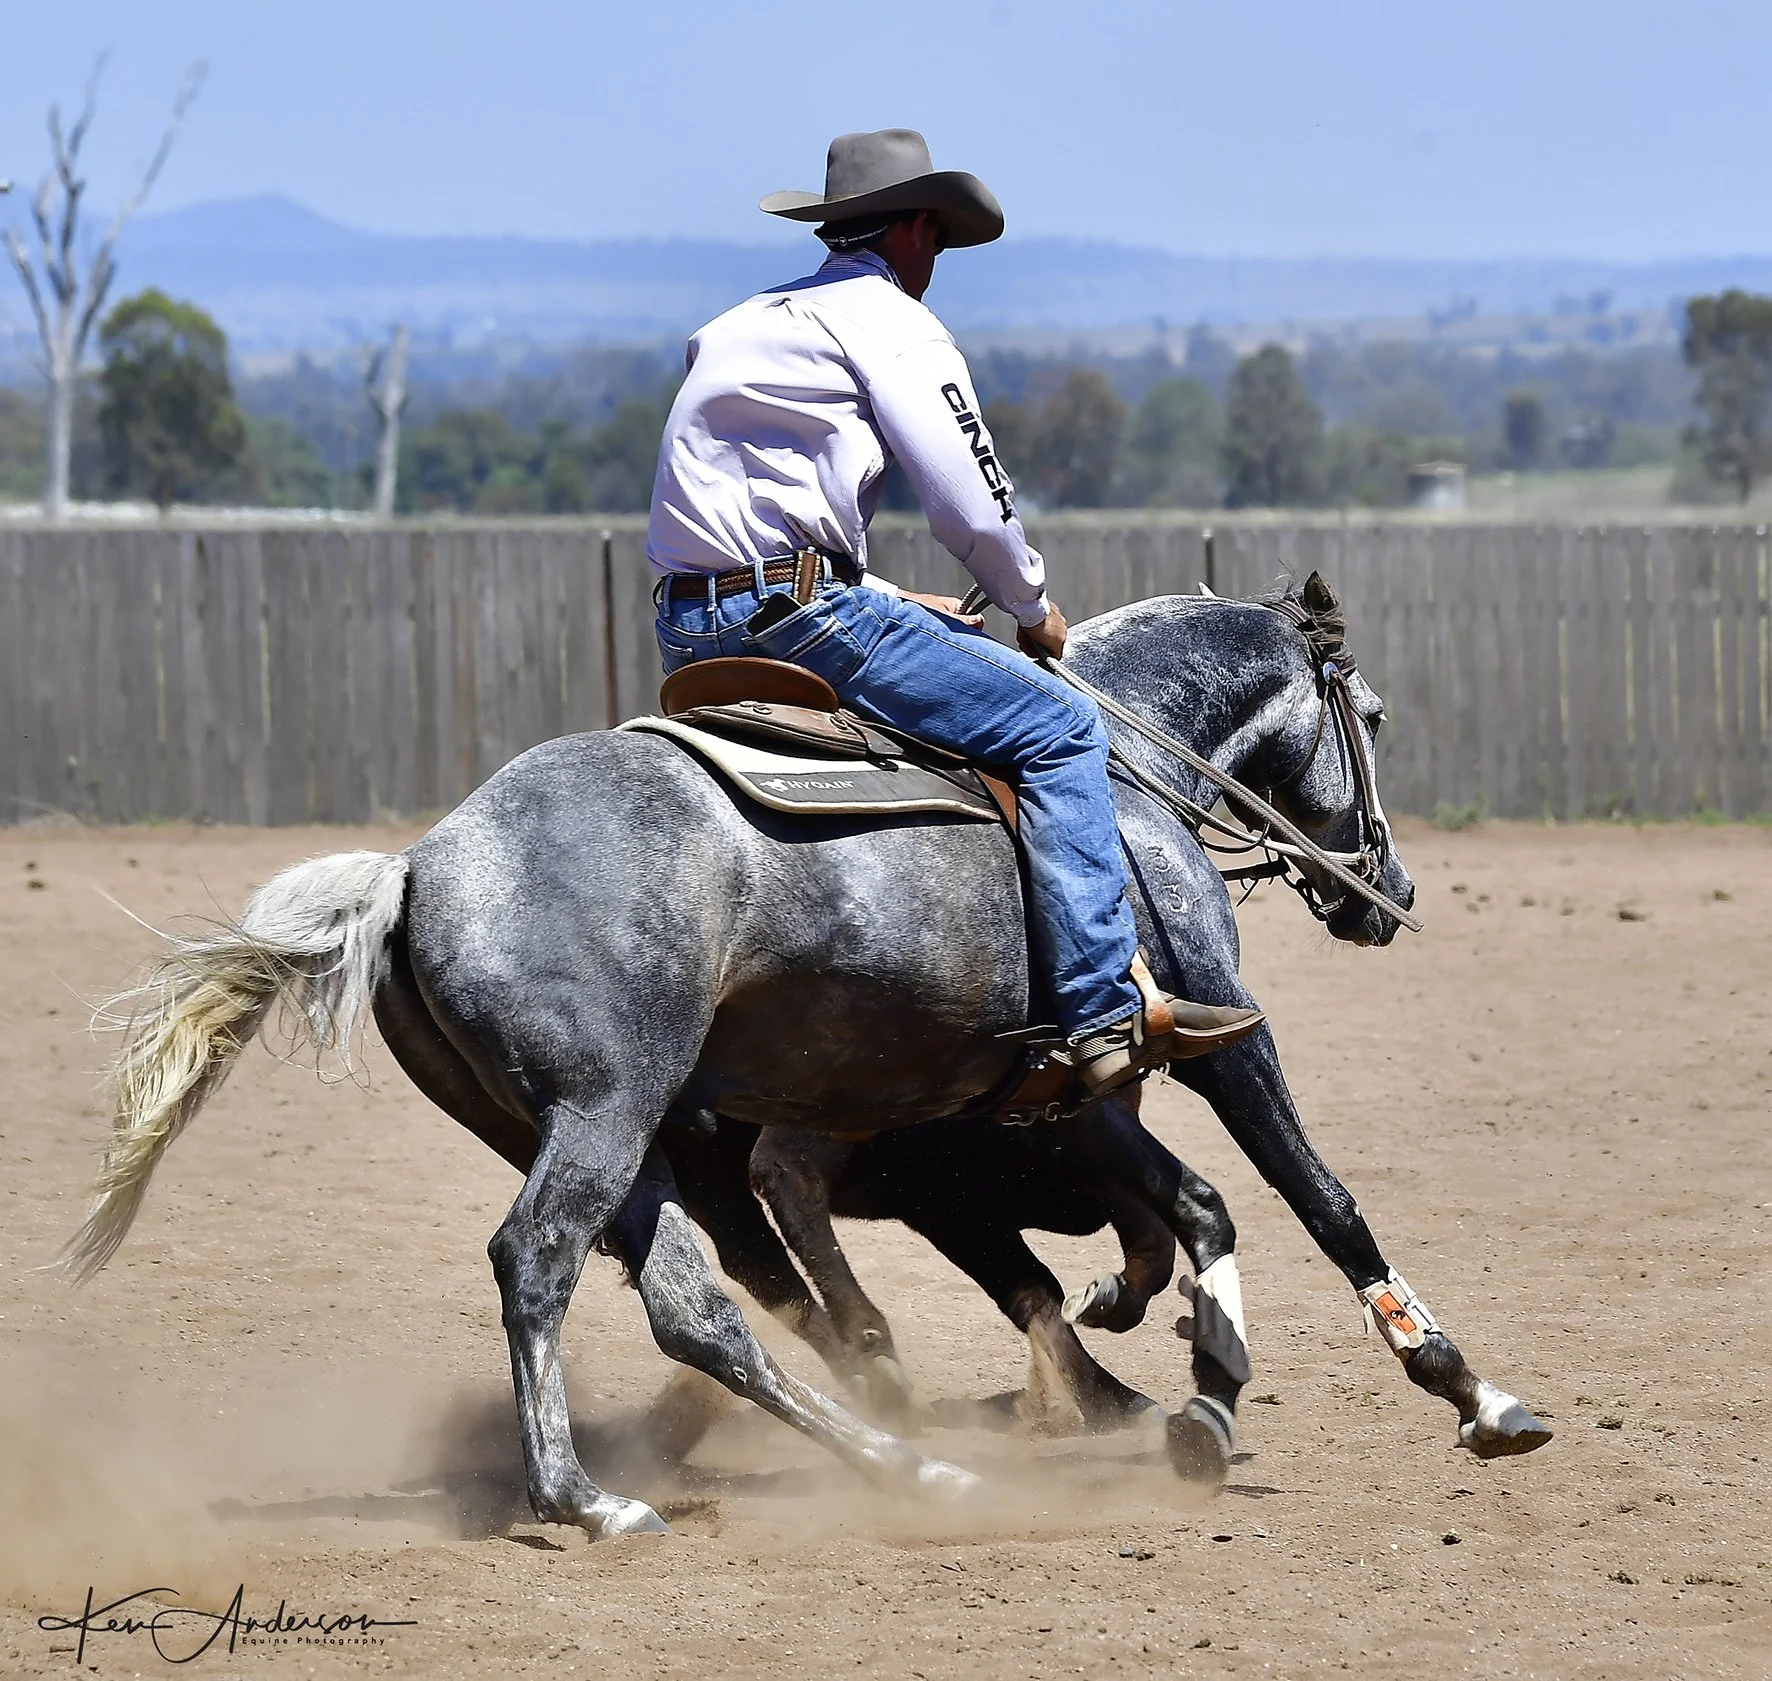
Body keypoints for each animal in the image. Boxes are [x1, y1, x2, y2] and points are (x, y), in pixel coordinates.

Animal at [65, 575, 1550, 1540]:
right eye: (1377, 718)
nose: (1383, 890)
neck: (1127, 773)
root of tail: (420, 865)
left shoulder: (1069, 1089)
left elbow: (1188, 1207)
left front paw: (1197, 1385)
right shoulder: (1215, 1026)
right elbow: (1313, 1195)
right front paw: (1468, 1388)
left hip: (614, 1138)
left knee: (700, 1307)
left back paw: (911, 1467)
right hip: (604, 1115)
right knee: (540, 1263)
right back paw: (587, 1499)